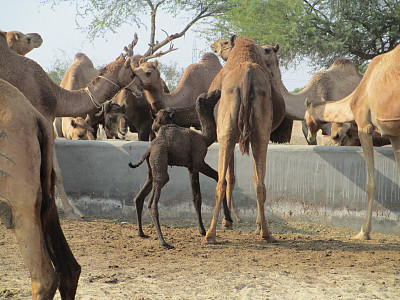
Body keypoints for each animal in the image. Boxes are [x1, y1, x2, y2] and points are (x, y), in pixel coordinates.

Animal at [0, 31, 144, 219]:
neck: (57, 98)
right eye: (132, 72)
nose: (142, 88)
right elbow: (54, 171)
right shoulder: (44, 121)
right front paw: (71, 211)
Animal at [126, 90, 230, 250]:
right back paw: (164, 242)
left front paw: (203, 229)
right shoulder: (198, 163)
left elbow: (197, 196)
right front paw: (207, 229)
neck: (204, 138)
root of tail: (149, 150)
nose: (218, 91)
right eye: (207, 97)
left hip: (152, 168)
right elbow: (212, 182)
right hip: (161, 161)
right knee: (153, 202)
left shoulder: (190, 167)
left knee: (140, 196)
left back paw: (141, 233)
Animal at [203, 36, 284, 245]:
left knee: (222, 181)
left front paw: (228, 222)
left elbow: (230, 177)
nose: (213, 45)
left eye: (224, 43)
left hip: (228, 133)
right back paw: (265, 233)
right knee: (260, 183)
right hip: (259, 134)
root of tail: (247, 77)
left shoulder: (231, 137)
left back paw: (212, 234)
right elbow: (250, 178)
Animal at [304, 44, 400, 239]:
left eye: (306, 117)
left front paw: (363, 232)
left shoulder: (364, 126)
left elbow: (370, 183)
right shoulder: (394, 135)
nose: (310, 137)